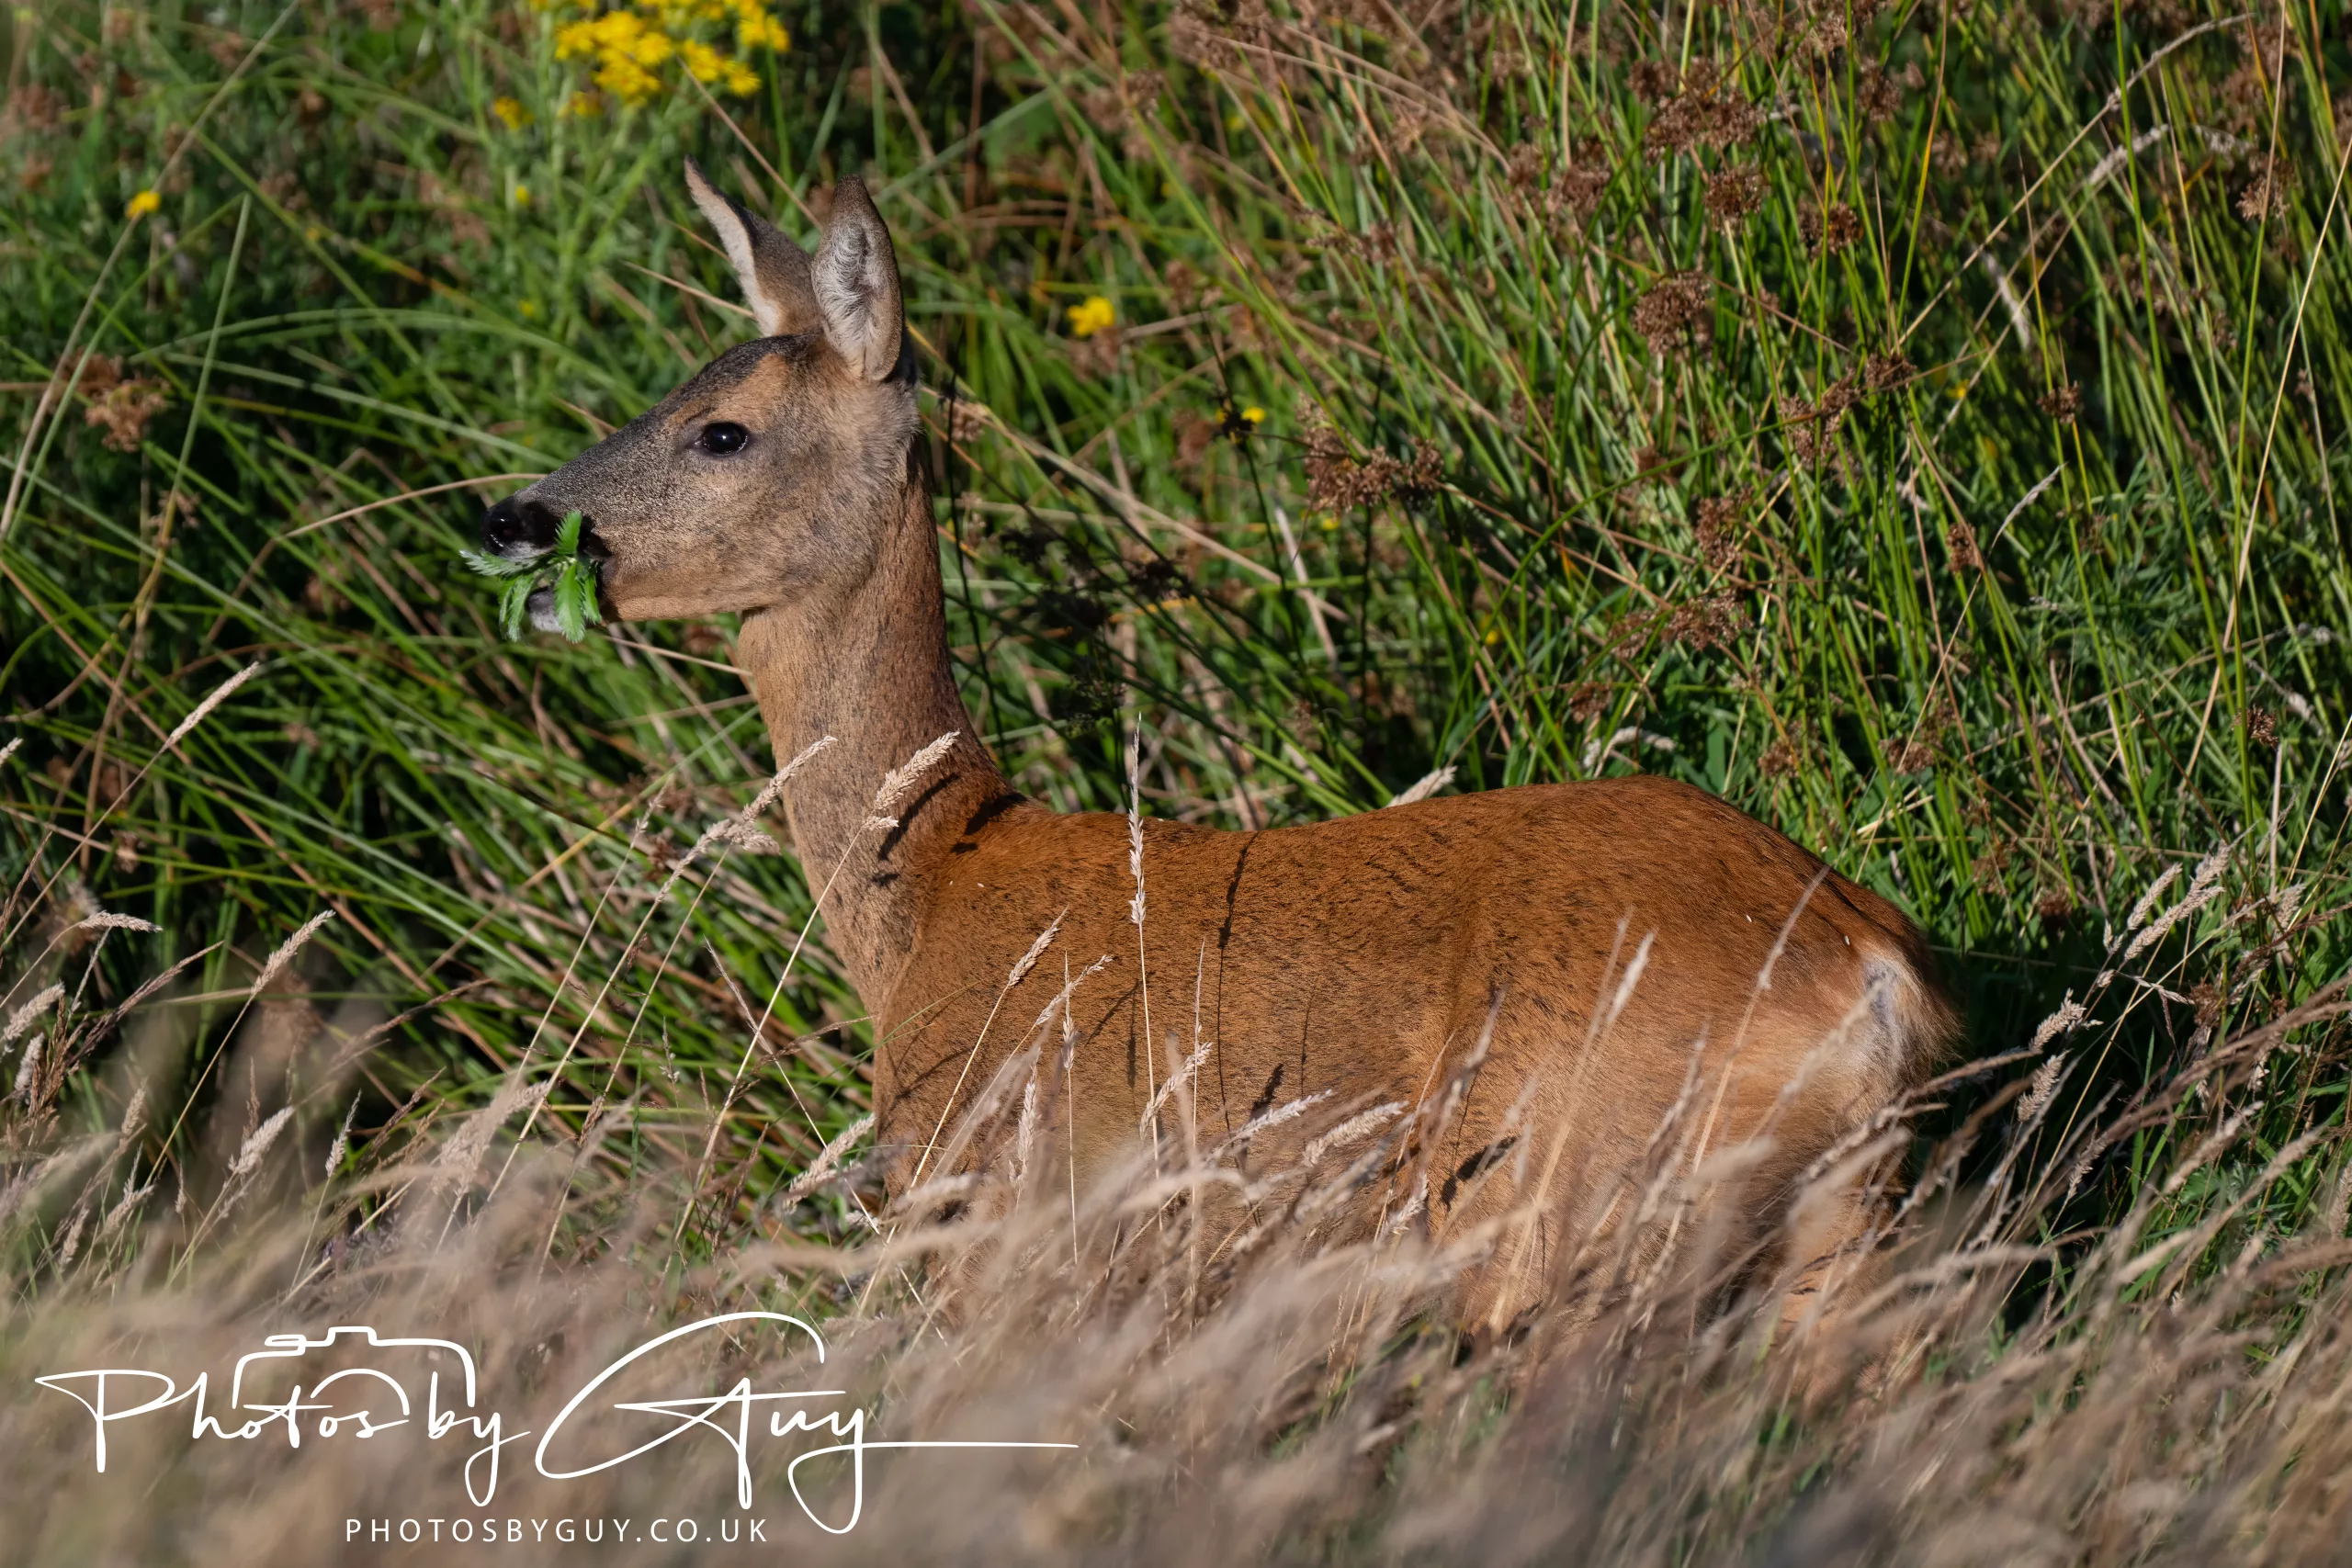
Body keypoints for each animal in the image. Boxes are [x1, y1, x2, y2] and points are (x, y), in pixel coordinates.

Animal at [477, 161, 1959, 1335]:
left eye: (721, 430)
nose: (511, 520)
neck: (941, 873)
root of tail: (1872, 975)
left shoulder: (1011, 1215)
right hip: (1835, 1237)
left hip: (1561, 1207)